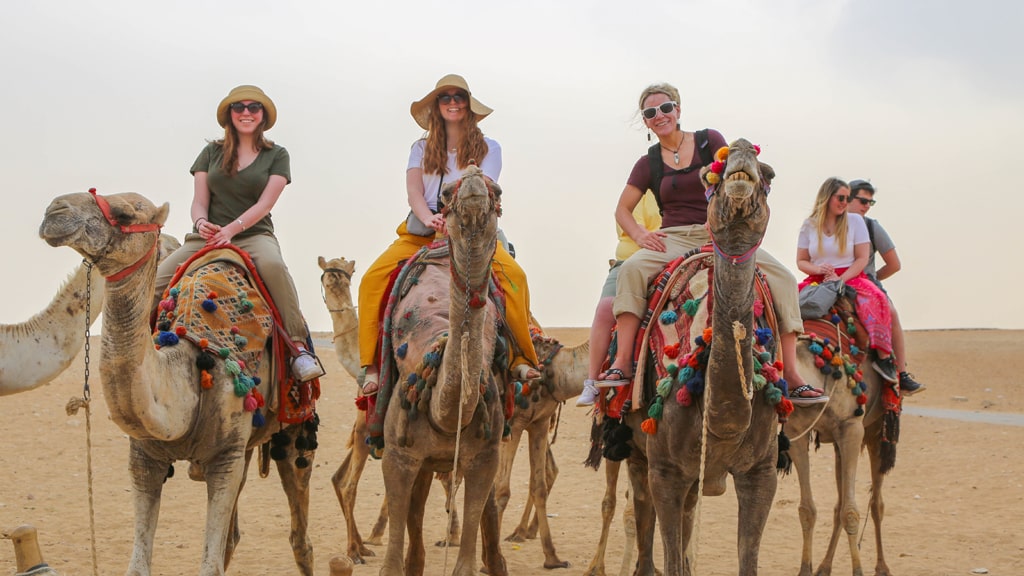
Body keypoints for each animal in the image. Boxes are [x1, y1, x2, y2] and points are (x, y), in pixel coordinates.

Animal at [39, 190, 313, 569]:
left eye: (124, 213)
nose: (55, 210)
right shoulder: (144, 458)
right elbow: (139, 564)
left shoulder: (225, 460)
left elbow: (209, 563)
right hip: (245, 449)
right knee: (233, 538)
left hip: (295, 426)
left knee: (300, 535)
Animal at [374, 163, 505, 569]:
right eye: (446, 193)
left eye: (497, 189)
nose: (475, 177)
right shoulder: (398, 457)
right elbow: (392, 564)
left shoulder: (486, 457)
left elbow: (465, 564)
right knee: (414, 530)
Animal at [643, 140, 778, 573]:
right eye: (710, 175)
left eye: (768, 174)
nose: (741, 149)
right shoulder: (664, 471)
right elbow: (671, 558)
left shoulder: (762, 471)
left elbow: (748, 559)